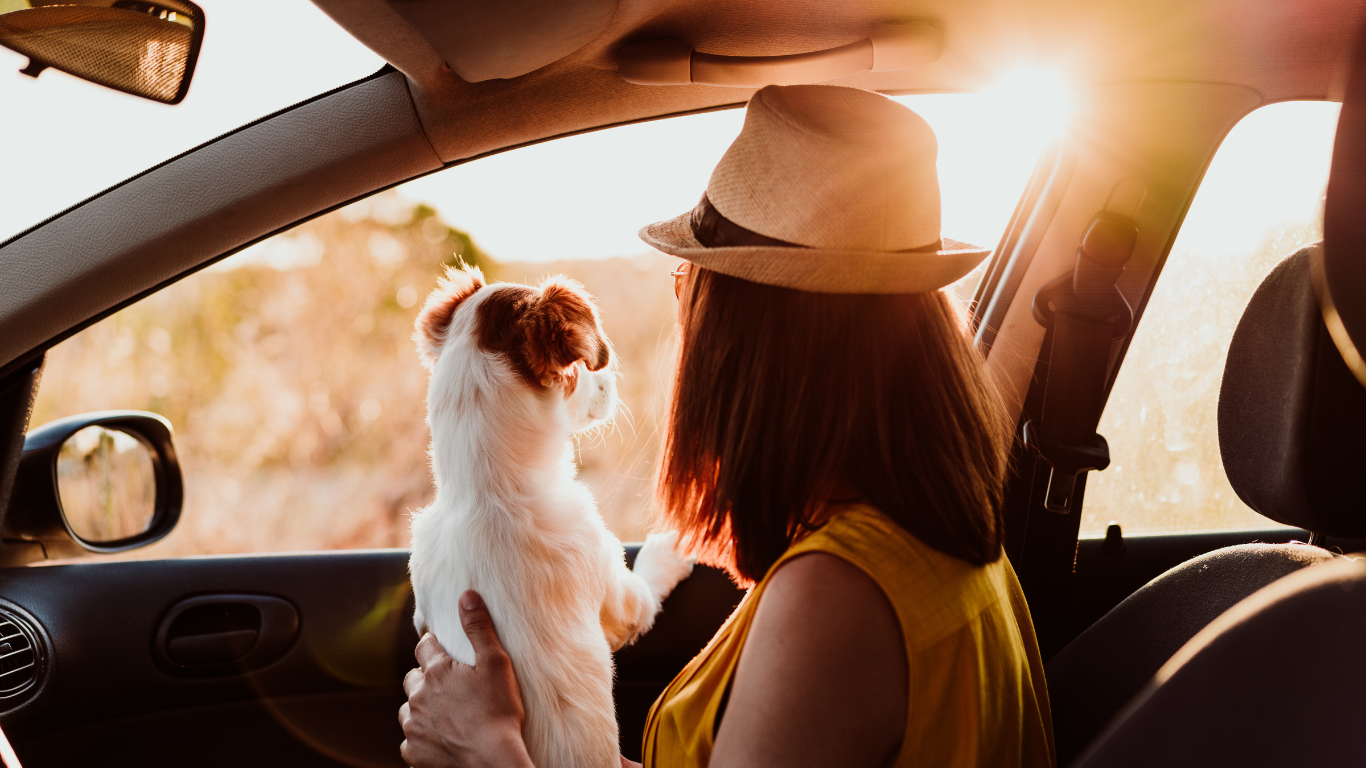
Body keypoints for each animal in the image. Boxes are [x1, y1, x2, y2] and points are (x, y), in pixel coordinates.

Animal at [398, 262, 688, 765]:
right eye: (586, 368)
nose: (613, 382)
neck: (489, 493)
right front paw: (670, 548)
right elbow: (648, 585)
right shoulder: (616, 590)